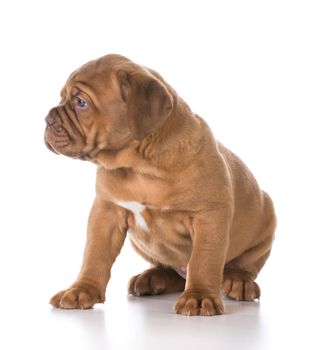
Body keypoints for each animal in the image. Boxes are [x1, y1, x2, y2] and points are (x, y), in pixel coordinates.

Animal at [44, 53, 276, 316]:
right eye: (63, 98)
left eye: (81, 102)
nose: (47, 119)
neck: (138, 166)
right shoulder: (106, 213)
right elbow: (94, 255)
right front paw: (81, 290)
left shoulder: (209, 216)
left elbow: (204, 260)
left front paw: (199, 297)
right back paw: (152, 278)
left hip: (266, 219)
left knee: (242, 264)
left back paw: (238, 280)